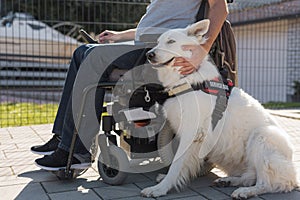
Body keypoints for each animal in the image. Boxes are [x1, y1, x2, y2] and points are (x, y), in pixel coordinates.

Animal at [141, 19, 298, 198]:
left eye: (171, 41)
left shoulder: (191, 132)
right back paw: (230, 181)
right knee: (250, 176)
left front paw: (161, 188)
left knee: (269, 183)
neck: (189, 79)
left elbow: (176, 164)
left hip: (263, 136)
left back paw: (246, 191)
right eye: (158, 42)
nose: (149, 54)